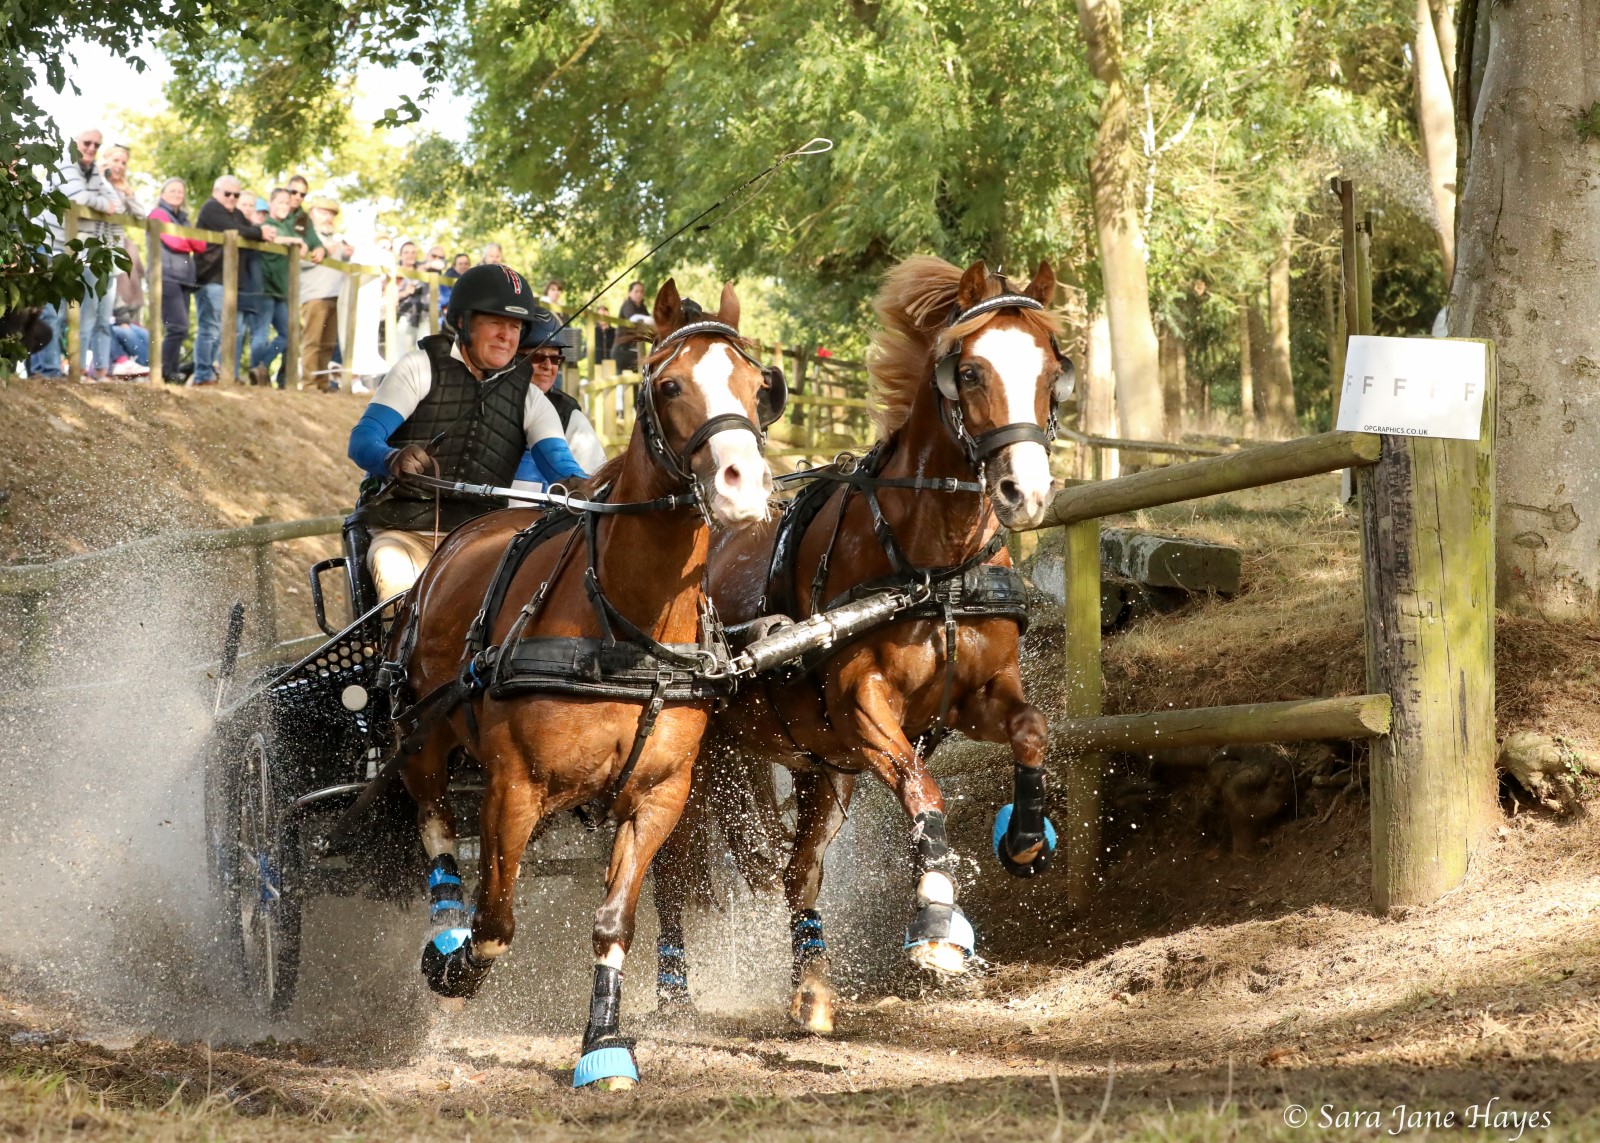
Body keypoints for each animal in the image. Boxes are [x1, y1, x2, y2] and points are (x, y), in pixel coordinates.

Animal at [392, 280, 779, 1089]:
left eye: (760, 385)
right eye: (670, 385)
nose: (744, 484)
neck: (625, 626)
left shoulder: (660, 795)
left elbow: (614, 920)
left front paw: (603, 1041)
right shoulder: (513, 786)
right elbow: (495, 923)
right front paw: (456, 970)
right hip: (421, 734)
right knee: (436, 826)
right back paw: (442, 934)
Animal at [652, 256, 1071, 1034]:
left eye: (1053, 369)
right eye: (970, 372)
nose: (1023, 491)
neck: (930, 567)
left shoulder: (978, 692)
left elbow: (1032, 729)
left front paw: (1026, 834)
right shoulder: (864, 706)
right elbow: (921, 787)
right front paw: (936, 916)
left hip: (822, 767)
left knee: (799, 870)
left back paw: (811, 986)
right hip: (692, 759)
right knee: (669, 865)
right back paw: (671, 992)